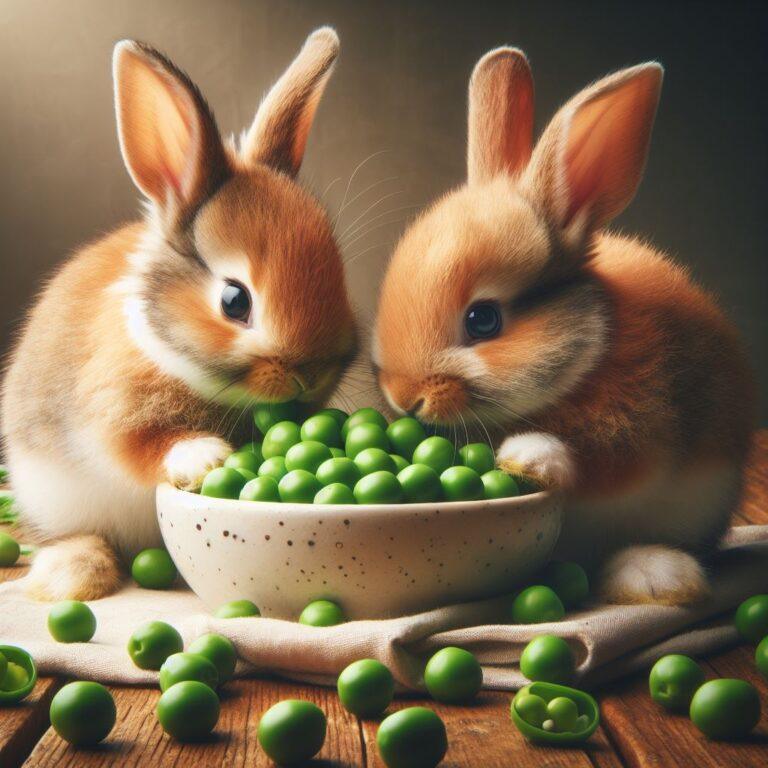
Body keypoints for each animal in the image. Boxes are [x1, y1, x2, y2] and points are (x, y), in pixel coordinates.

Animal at [0, 30, 356, 604]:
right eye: (235, 301)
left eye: (340, 275)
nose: (310, 374)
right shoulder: (110, 411)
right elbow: (141, 447)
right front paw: (207, 457)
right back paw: (72, 575)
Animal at [372, 46, 756, 608]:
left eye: (482, 320)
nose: (405, 398)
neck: (587, 357)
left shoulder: (641, 431)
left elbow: (599, 466)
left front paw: (528, 458)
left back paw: (654, 576)